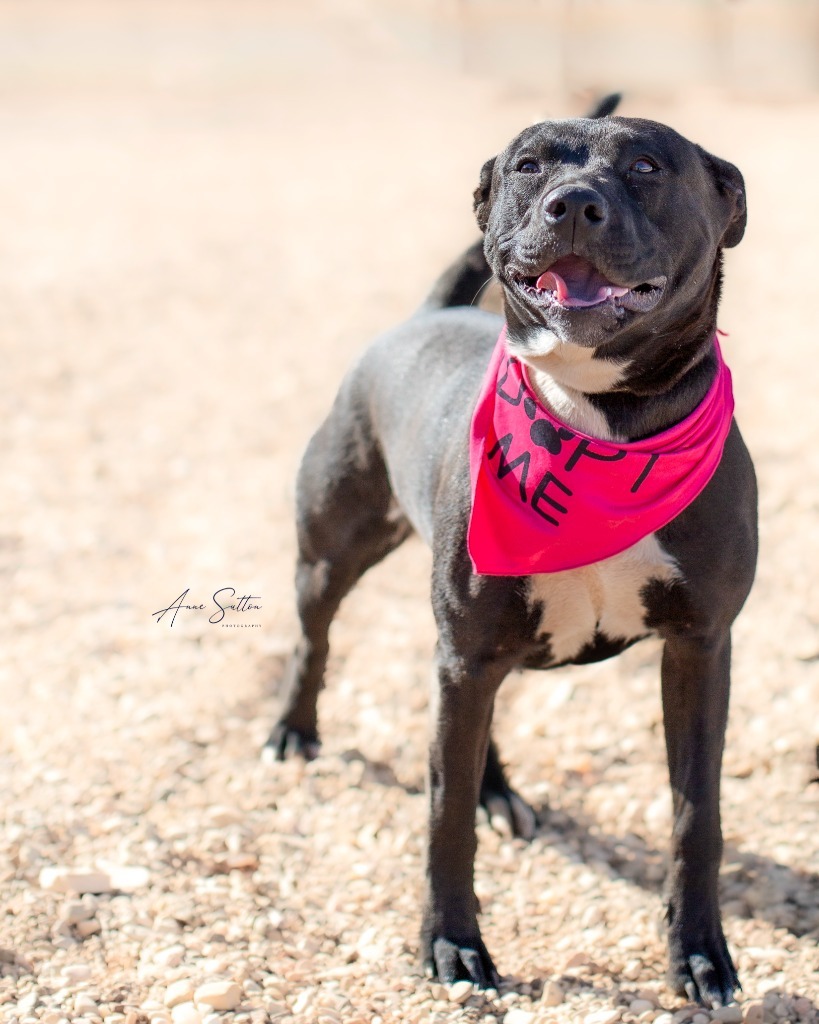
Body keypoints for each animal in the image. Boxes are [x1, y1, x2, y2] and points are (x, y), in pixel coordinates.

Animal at [268, 99, 753, 1011]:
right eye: (528, 166)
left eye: (645, 167)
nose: (572, 203)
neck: (598, 427)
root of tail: (426, 315)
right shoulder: (465, 646)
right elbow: (443, 811)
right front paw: (453, 944)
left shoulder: (699, 646)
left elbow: (693, 813)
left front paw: (699, 953)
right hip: (338, 557)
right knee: (314, 640)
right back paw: (292, 729)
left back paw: (498, 789)